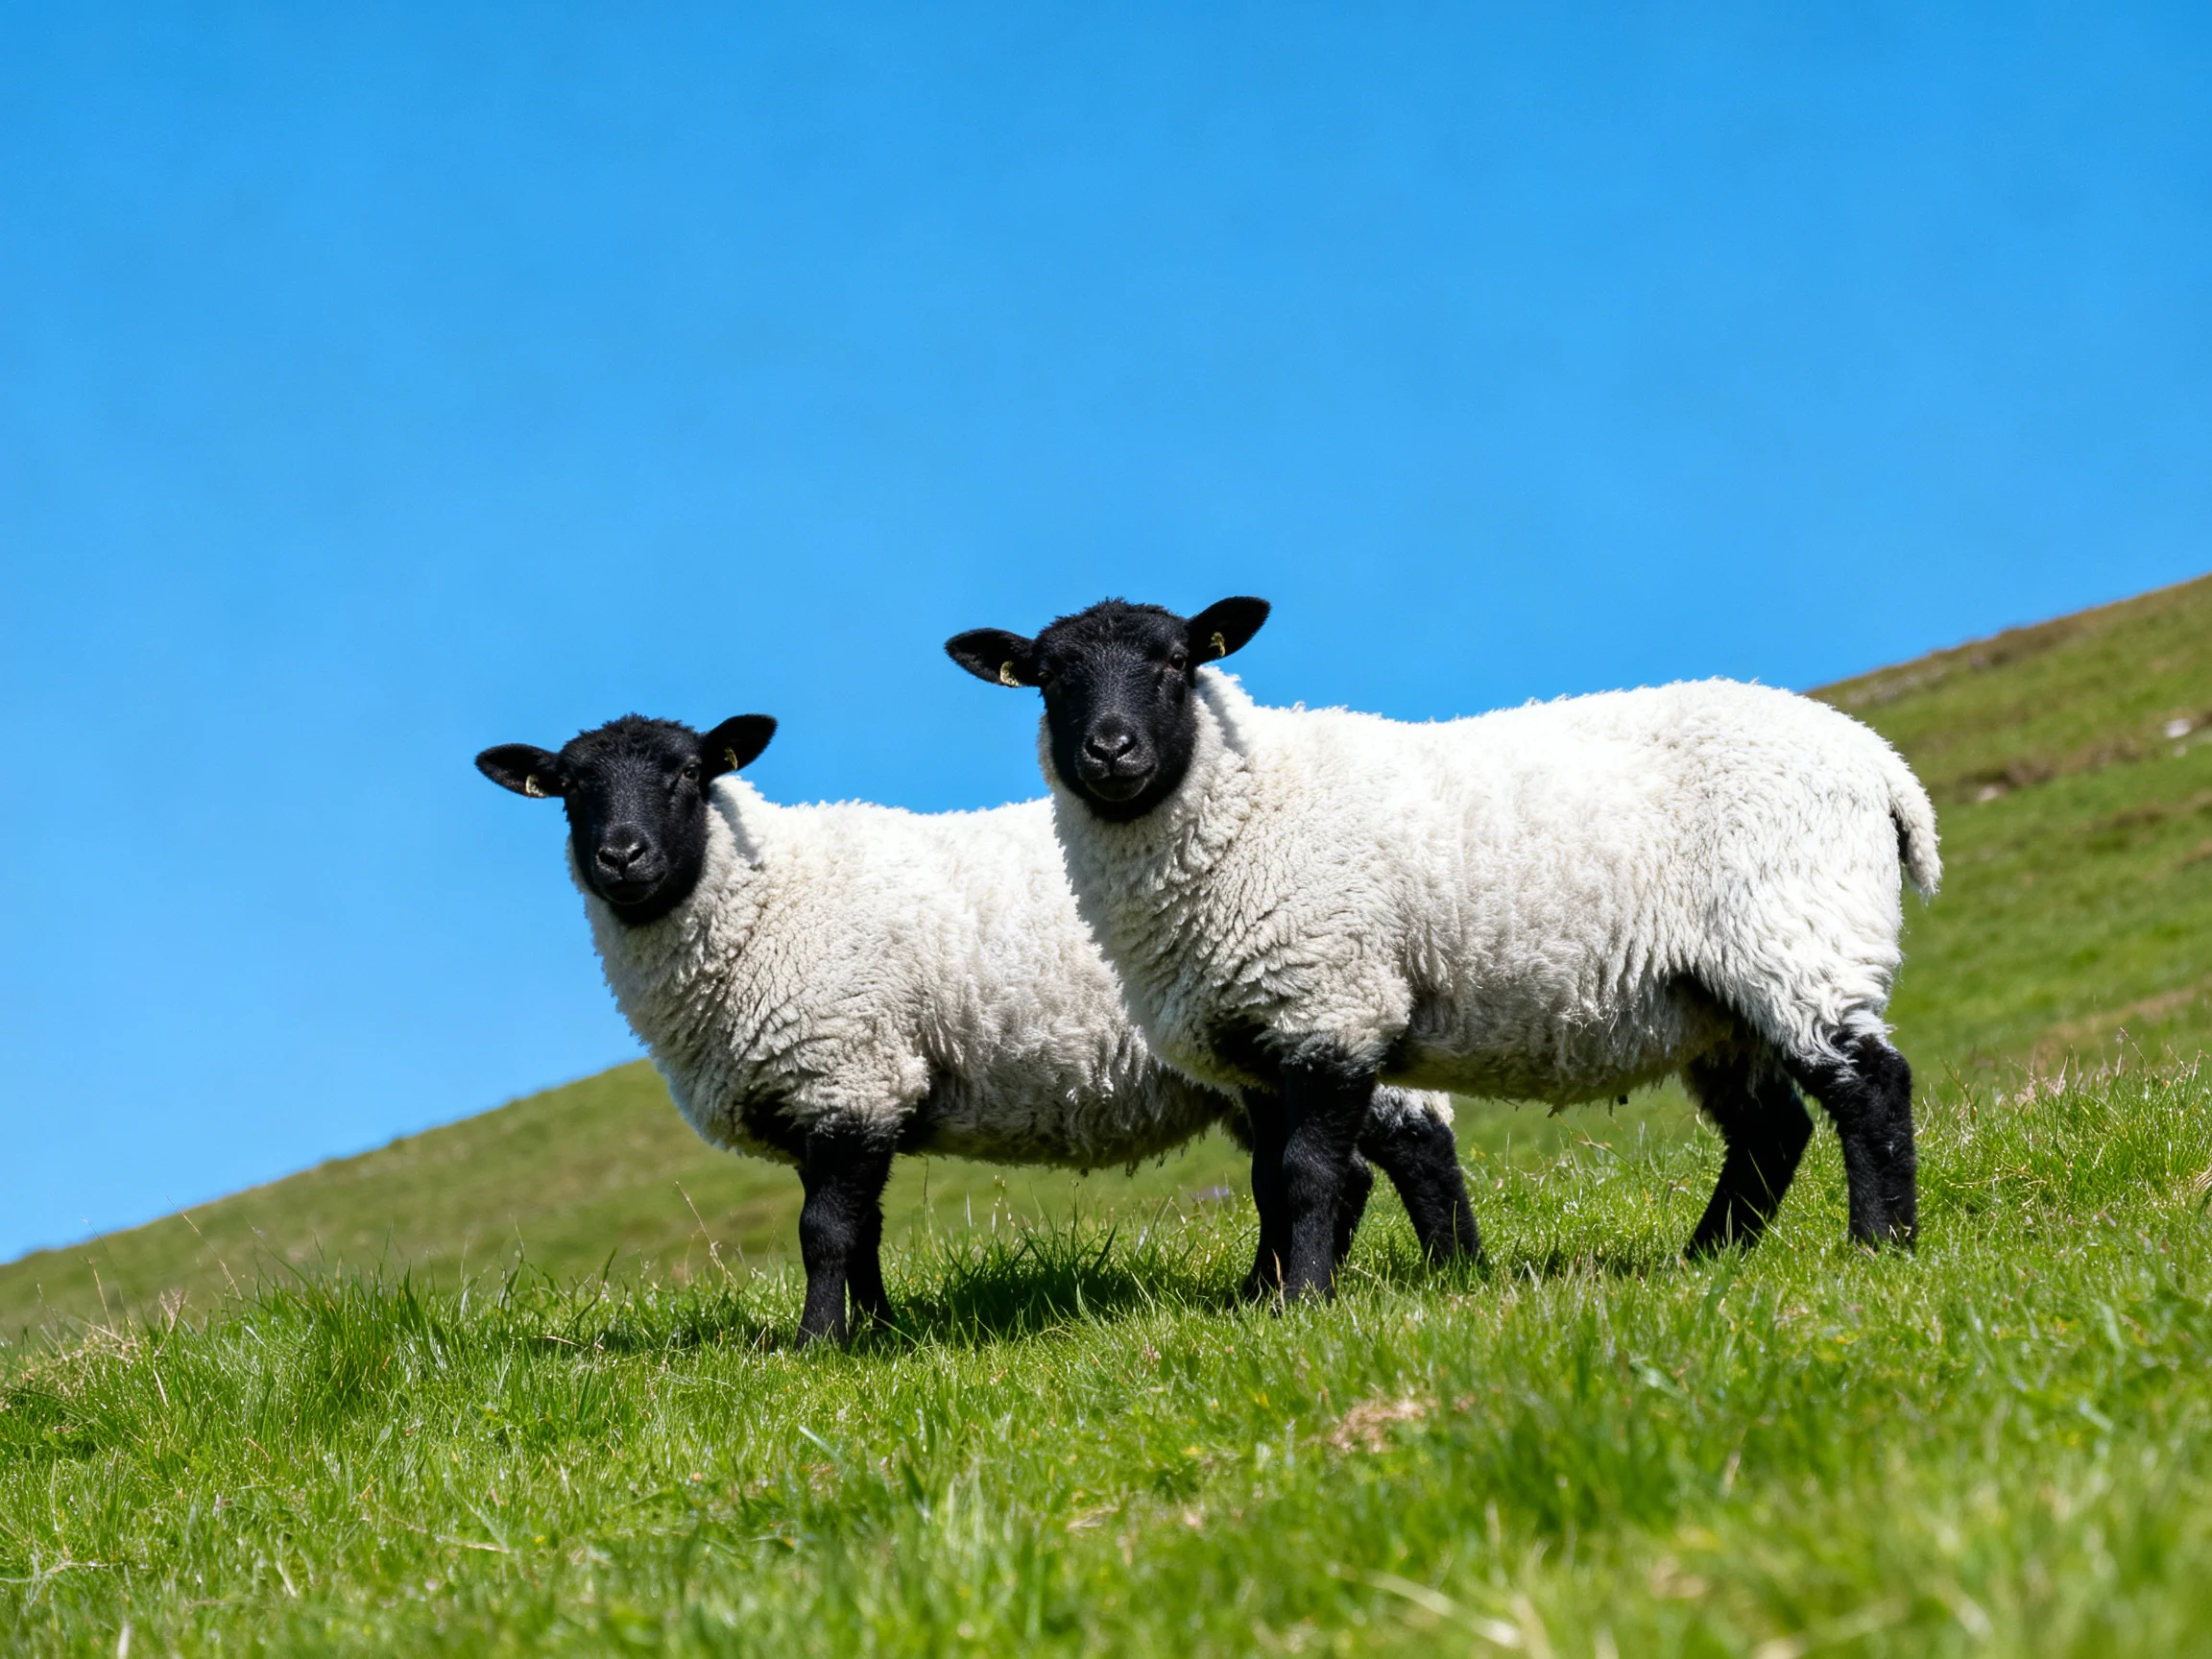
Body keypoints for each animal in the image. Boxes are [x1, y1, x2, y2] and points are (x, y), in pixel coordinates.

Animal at [476, 711, 1476, 1342]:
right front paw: (875, 1335)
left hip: (1326, 1002)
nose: (621, 855)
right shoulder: (834, 1089)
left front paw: (814, 1346)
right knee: (1329, 1174)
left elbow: (824, 1231)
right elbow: (859, 1230)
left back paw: (1448, 1275)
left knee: (1412, 1147)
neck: (762, 895)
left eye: (689, 773)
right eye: (568, 789)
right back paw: (1263, 1294)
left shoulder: (848, 1068)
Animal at [946, 596, 1941, 1301]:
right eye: (1048, 679)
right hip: (1715, 997)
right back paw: (1707, 1260)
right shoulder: (1253, 1036)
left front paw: (1302, 1303)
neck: (1248, 801)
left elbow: (1310, 1174)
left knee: (1869, 1086)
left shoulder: (1331, 1001)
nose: (1111, 751)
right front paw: (1261, 1302)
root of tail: (1883, 767)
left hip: (1798, 931)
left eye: (1177, 663)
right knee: (1773, 1128)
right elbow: (1271, 1180)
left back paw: (1880, 1248)